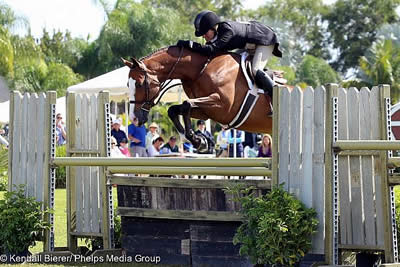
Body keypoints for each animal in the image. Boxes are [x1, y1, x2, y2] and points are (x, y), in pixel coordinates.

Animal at [123, 45, 276, 152]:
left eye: (139, 84)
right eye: (128, 85)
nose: (133, 119)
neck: (200, 70)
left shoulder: (223, 106)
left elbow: (186, 104)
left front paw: (196, 139)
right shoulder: (206, 111)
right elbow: (174, 109)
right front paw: (197, 140)